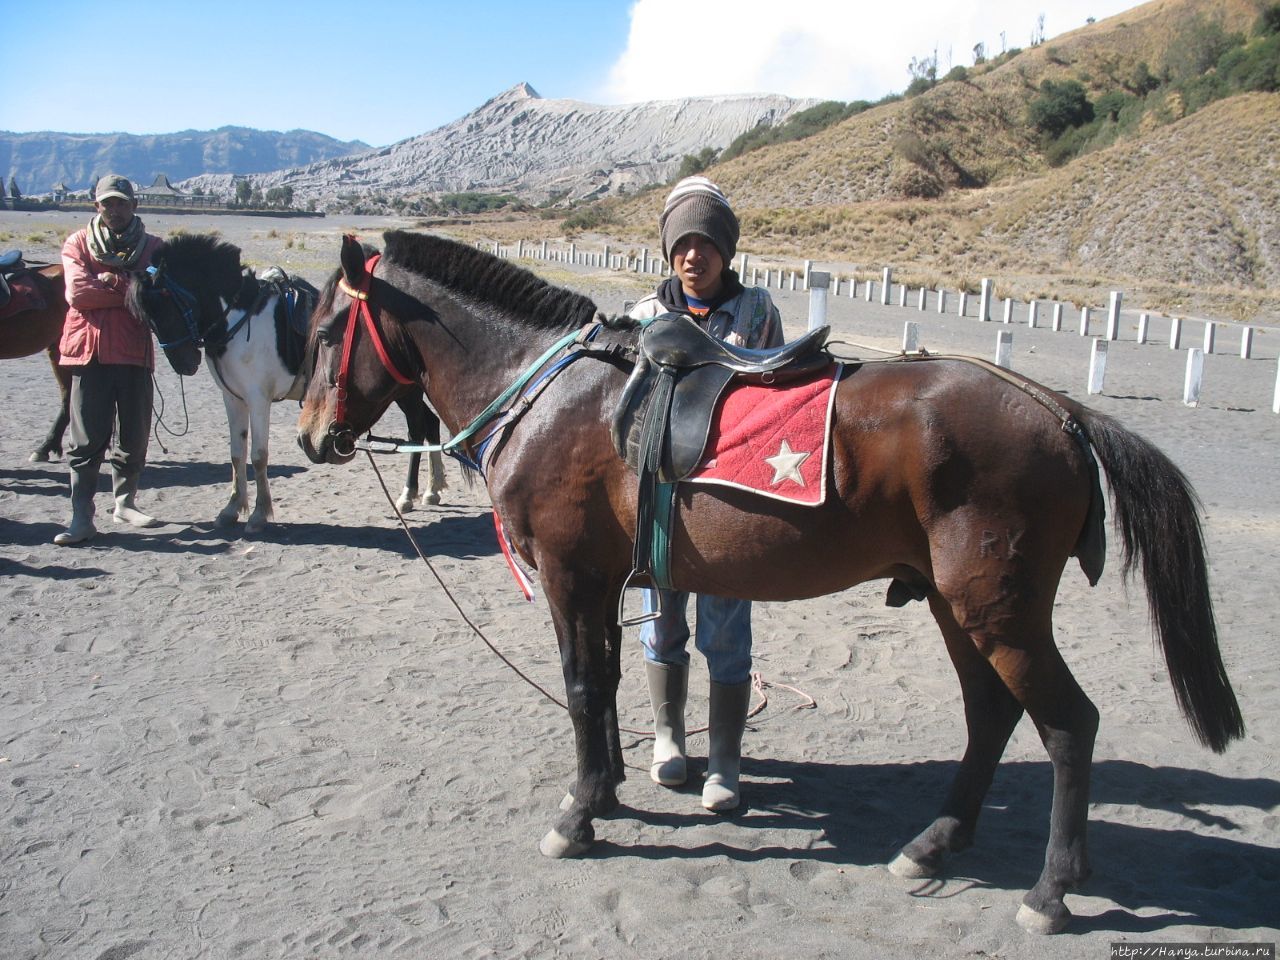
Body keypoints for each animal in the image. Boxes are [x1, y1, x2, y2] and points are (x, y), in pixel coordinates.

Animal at [126, 234, 445, 535]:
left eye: (165, 305)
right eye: (148, 316)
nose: (185, 363)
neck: (240, 319)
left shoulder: (258, 399)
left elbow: (258, 456)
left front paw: (258, 515)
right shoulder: (233, 398)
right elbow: (236, 454)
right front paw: (231, 509)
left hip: (406, 393)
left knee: (418, 429)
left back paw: (408, 494)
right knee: (430, 424)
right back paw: (432, 489)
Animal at [296, 235, 1239, 942]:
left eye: (326, 328)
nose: (309, 435)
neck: (557, 392)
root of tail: (1058, 409)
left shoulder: (568, 578)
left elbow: (580, 688)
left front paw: (578, 817)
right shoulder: (602, 584)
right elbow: (609, 684)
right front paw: (605, 791)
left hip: (996, 611)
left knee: (1069, 726)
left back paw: (1050, 891)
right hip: (958, 607)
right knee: (991, 716)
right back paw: (935, 843)